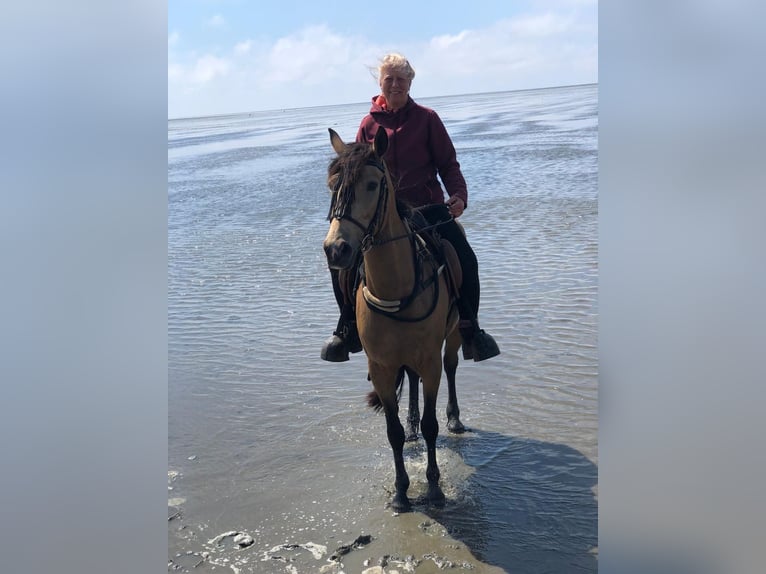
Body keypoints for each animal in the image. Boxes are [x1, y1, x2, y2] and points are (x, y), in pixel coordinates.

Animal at [323, 126, 465, 511]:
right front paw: (401, 492)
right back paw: (413, 424)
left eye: (372, 185)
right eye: (331, 185)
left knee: (452, 367)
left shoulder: (430, 361)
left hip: (453, 336)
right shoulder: (383, 368)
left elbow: (432, 424)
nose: (336, 249)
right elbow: (393, 432)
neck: (397, 288)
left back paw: (455, 417)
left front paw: (434, 488)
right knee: (411, 386)